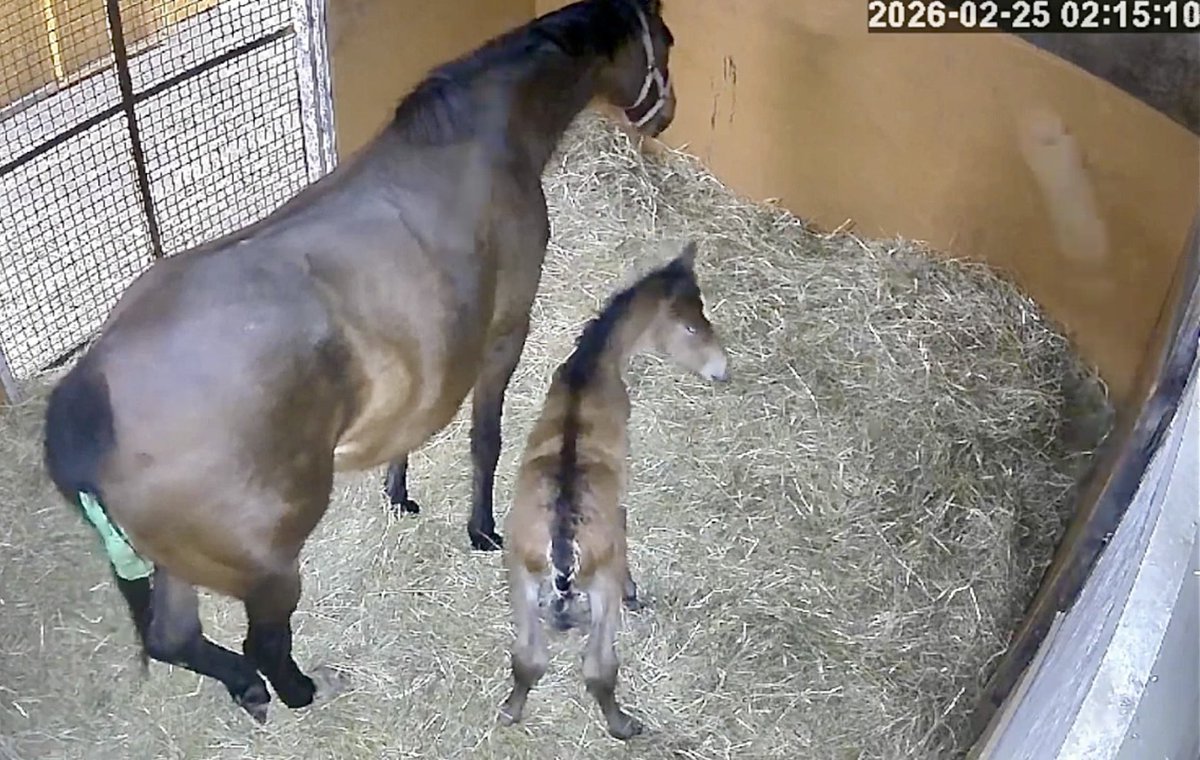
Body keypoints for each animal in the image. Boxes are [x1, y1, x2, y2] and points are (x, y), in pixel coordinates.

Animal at [41, 0, 677, 723]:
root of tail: (89, 403)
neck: (478, 135)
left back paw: (246, 689)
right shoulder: (504, 332)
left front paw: (398, 492)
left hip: (177, 564)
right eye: (664, 40)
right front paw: (480, 527)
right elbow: (485, 437)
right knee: (262, 643)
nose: (665, 114)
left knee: (175, 638)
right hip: (269, 569)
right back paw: (298, 690)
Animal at [498, 241, 729, 739]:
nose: (723, 370)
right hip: (599, 588)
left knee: (528, 657)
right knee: (598, 667)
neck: (588, 371)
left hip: (519, 578)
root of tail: (561, 550)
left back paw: (510, 710)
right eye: (690, 326)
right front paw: (635, 589)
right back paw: (625, 725)